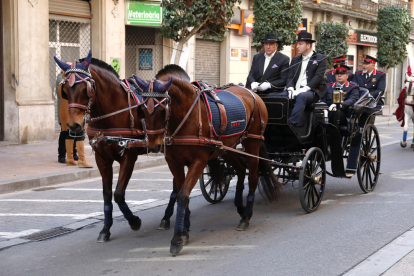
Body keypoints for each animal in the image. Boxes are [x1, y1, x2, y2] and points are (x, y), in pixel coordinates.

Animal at [54, 51, 150, 242]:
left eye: (85, 89)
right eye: (65, 91)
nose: (74, 126)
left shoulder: (129, 157)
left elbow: (118, 194)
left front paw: (134, 221)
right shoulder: (102, 159)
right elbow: (106, 195)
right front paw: (106, 229)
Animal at [133, 64, 282, 254]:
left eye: (162, 109)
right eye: (142, 110)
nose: (153, 146)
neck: (186, 116)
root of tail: (252, 93)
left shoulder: (198, 163)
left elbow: (182, 195)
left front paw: (177, 238)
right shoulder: (174, 163)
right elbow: (182, 194)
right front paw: (184, 230)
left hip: (253, 143)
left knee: (253, 178)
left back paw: (246, 216)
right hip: (227, 148)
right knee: (241, 170)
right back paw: (240, 209)